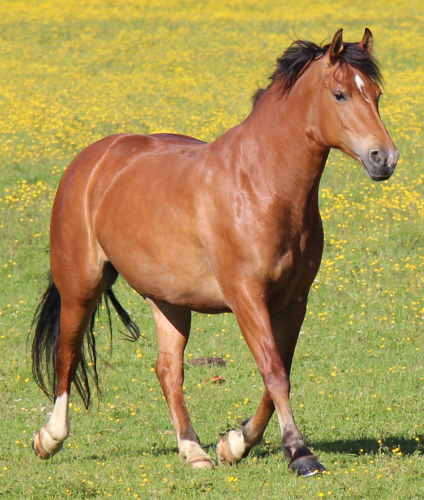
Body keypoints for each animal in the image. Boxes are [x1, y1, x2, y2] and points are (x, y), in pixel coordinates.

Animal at [29, 29, 398, 474]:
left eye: (376, 94)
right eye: (340, 94)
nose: (385, 158)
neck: (260, 183)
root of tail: (92, 159)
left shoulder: (294, 301)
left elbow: (279, 371)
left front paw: (235, 443)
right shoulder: (246, 297)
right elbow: (274, 370)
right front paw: (299, 453)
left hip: (169, 301)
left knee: (168, 370)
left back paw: (193, 450)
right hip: (80, 287)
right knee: (66, 354)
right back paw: (49, 438)